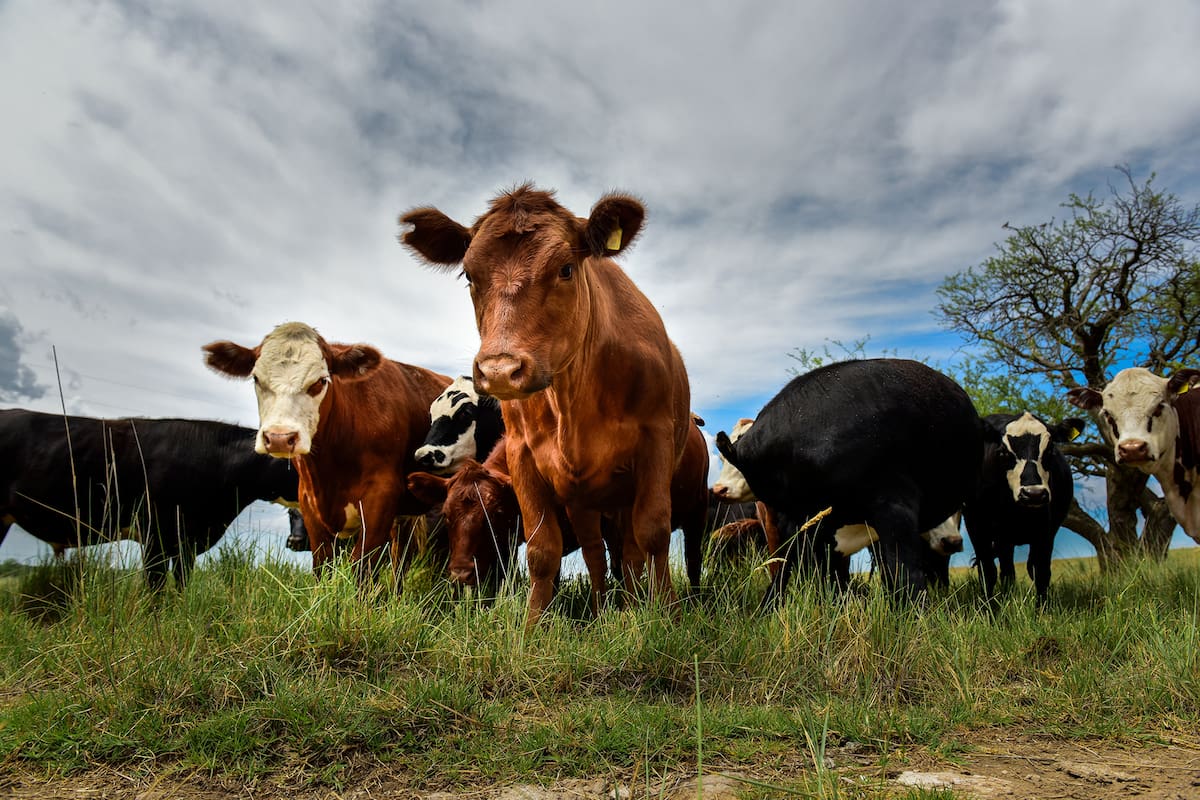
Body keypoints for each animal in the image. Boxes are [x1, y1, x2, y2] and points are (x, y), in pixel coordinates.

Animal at [203, 322, 452, 583]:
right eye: (256, 378)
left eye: (320, 381)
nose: (279, 438)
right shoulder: (310, 505)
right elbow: (322, 568)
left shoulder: (380, 500)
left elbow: (362, 569)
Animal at [401, 184, 692, 626]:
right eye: (468, 275)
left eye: (566, 269)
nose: (500, 370)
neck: (576, 398)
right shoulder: (524, 457)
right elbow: (542, 551)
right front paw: (533, 626)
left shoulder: (655, 442)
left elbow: (653, 533)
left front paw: (668, 616)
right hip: (583, 499)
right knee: (596, 554)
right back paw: (603, 609)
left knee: (630, 553)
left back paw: (631, 603)